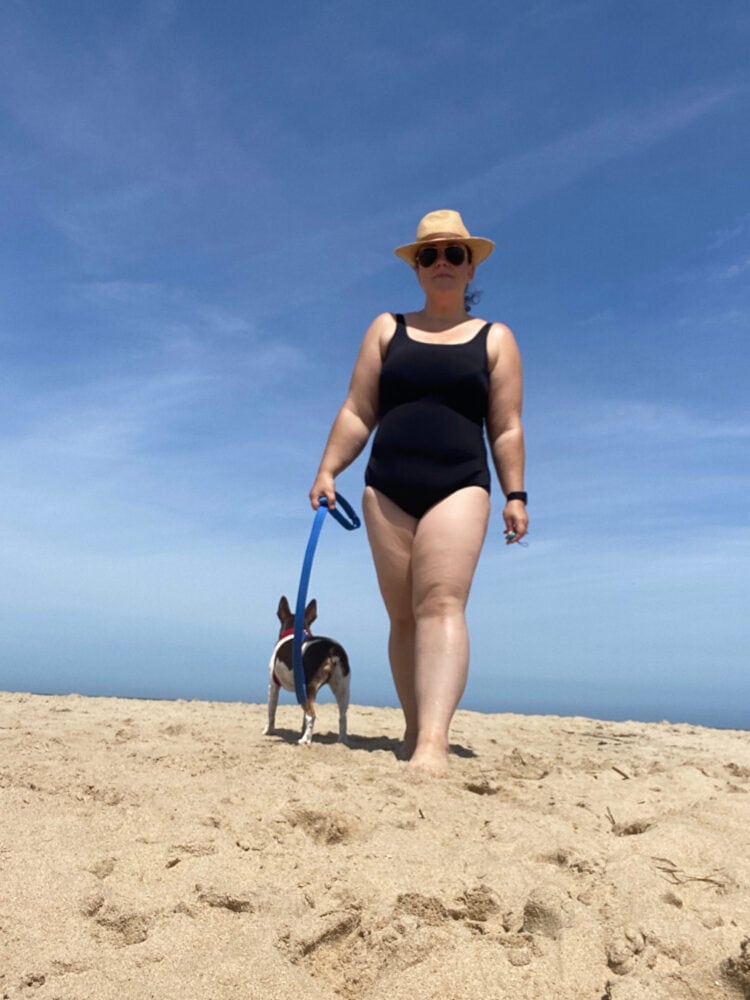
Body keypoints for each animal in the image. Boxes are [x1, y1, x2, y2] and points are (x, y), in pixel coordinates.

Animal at [264, 592, 352, 744]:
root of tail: (331, 649)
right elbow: (304, 717)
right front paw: (303, 730)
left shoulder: (273, 685)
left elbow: (271, 712)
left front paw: (268, 731)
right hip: (342, 687)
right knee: (342, 716)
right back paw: (341, 741)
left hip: (308, 687)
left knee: (312, 715)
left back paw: (305, 740)